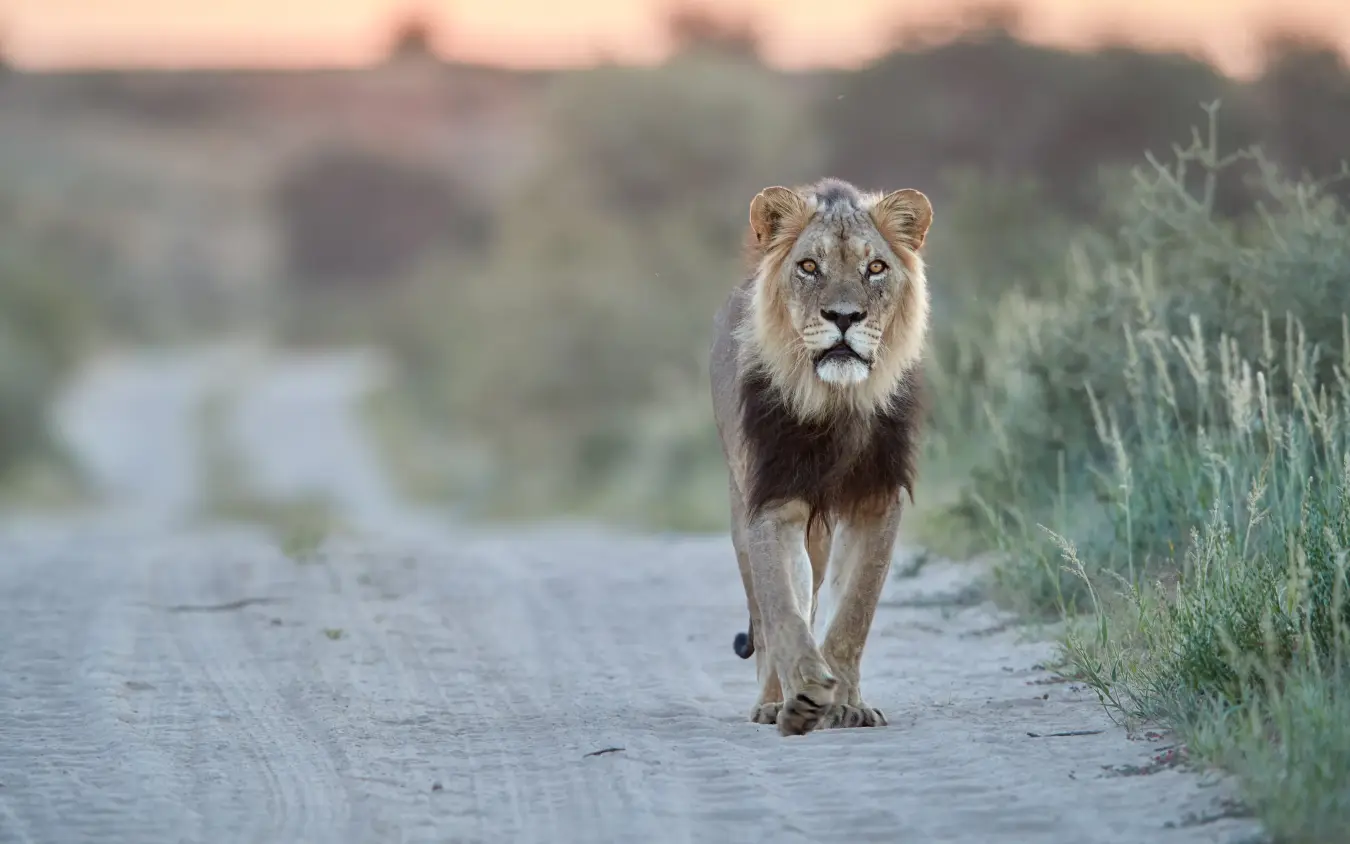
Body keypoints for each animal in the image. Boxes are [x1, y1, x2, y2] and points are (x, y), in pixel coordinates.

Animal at [709, 177, 931, 737]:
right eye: (809, 266)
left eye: (876, 268)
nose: (844, 317)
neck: (837, 401)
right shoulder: (772, 500)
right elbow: (784, 609)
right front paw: (805, 694)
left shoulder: (877, 500)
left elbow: (854, 610)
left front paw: (847, 704)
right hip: (741, 508)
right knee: (768, 614)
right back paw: (773, 700)